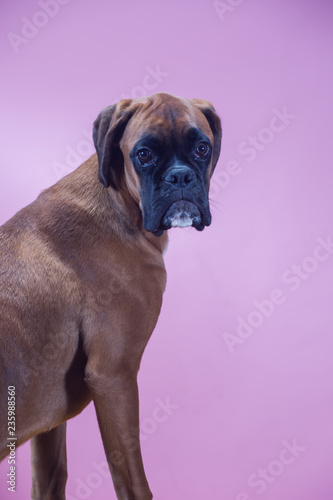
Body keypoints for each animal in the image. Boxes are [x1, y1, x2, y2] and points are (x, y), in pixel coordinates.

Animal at [1, 92, 222, 498]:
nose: (180, 176)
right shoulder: (113, 376)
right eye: (144, 154)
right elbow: (133, 482)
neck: (121, 207)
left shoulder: (49, 426)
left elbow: (49, 479)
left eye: (202, 148)